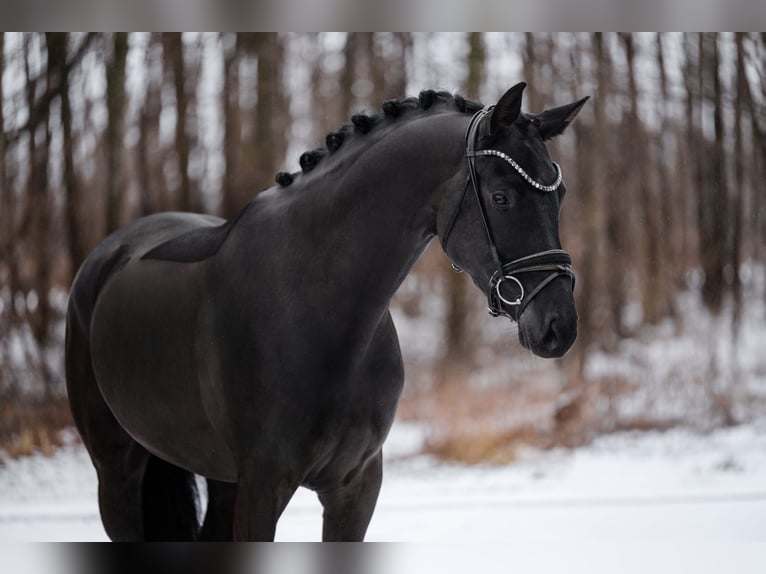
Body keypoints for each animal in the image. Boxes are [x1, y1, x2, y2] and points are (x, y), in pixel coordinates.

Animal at [65, 82, 587, 541]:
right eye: (501, 197)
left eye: (560, 196)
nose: (558, 327)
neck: (316, 308)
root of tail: (110, 252)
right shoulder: (263, 487)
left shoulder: (354, 487)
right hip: (118, 471)